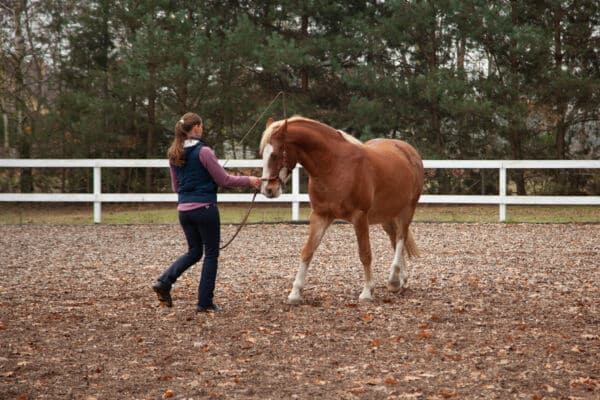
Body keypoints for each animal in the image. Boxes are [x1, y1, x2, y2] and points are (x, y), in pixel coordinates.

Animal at [260, 115, 424, 304]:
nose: (268, 190)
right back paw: (399, 281)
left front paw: (367, 291)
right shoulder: (320, 215)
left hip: (407, 210)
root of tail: (408, 150)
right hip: (387, 216)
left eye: (275, 154)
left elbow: (365, 253)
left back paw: (393, 279)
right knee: (395, 239)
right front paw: (295, 293)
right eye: (262, 155)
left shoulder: (360, 217)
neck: (334, 166)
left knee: (401, 237)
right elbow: (307, 251)